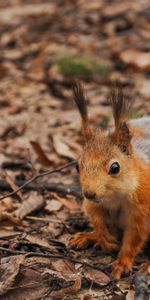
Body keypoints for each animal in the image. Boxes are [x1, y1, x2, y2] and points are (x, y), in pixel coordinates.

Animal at [69, 79, 150, 278]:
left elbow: (134, 238)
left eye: (115, 167)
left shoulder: (142, 210)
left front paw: (122, 263)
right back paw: (88, 236)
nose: (89, 193)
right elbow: (97, 218)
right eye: (77, 166)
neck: (115, 196)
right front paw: (104, 239)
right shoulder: (93, 204)